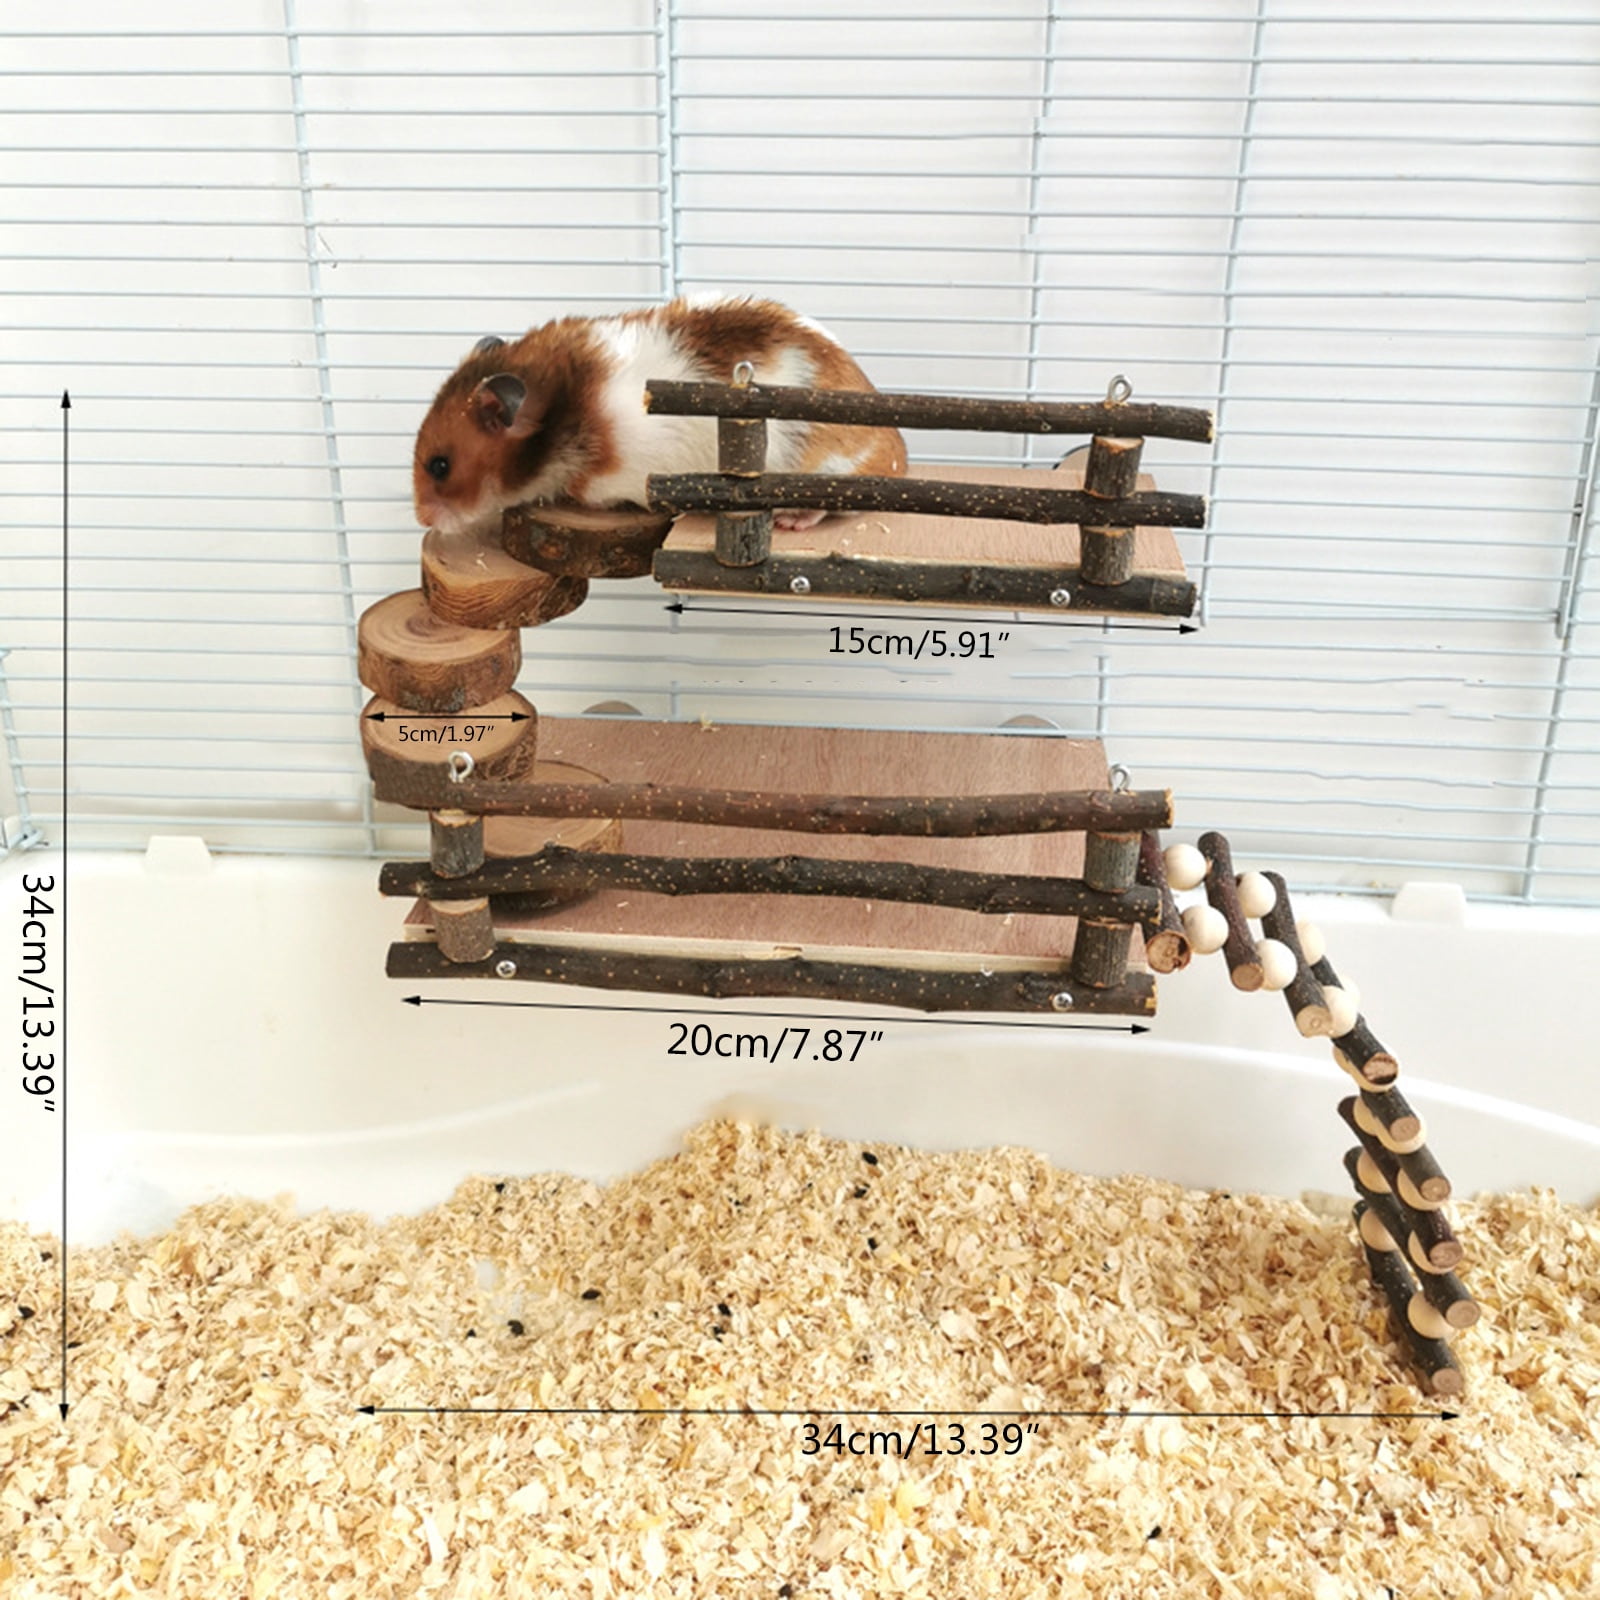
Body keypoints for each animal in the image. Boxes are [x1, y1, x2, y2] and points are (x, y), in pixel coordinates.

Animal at [412, 294, 908, 537]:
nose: (422, 521)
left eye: (440, 465)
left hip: (826, 467)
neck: (566, 407)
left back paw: (791, 521)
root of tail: (899, 458)